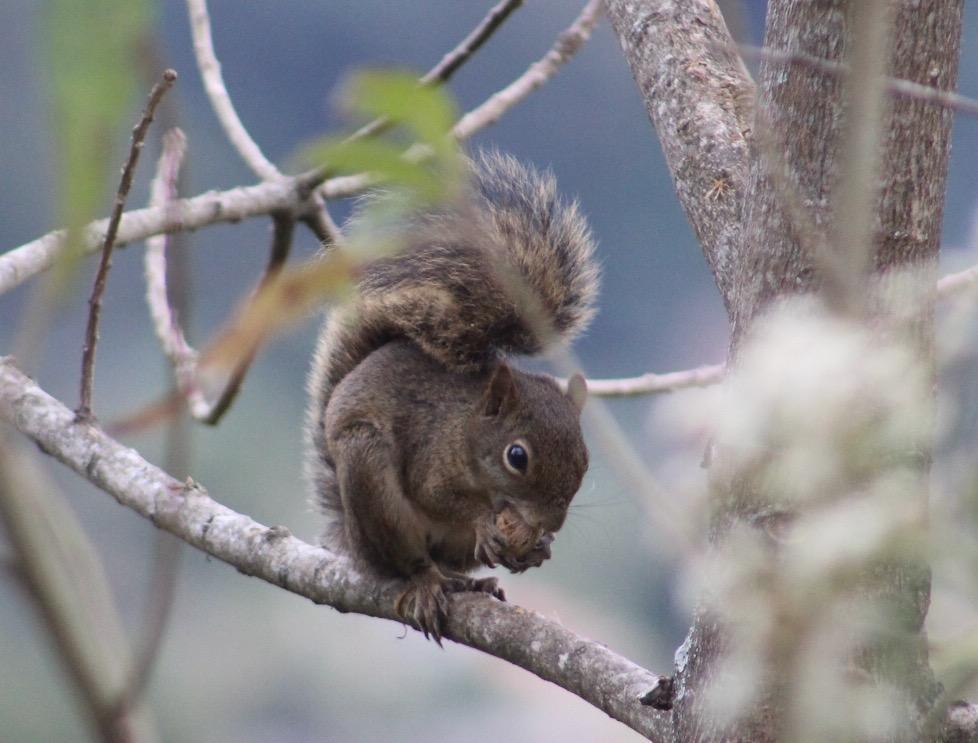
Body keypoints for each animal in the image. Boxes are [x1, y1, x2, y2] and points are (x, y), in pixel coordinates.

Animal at [304, 148, 596, 644]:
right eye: (517, 457)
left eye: (585, 459)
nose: (550, 524)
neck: (468, 427)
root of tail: (354, 542)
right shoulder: (432, 455)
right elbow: (438, 495)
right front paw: (484, 520)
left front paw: (539, 547)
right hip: (370, 479)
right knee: (411, 564)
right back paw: (426, 583)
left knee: (448, 563)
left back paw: (471, 582)